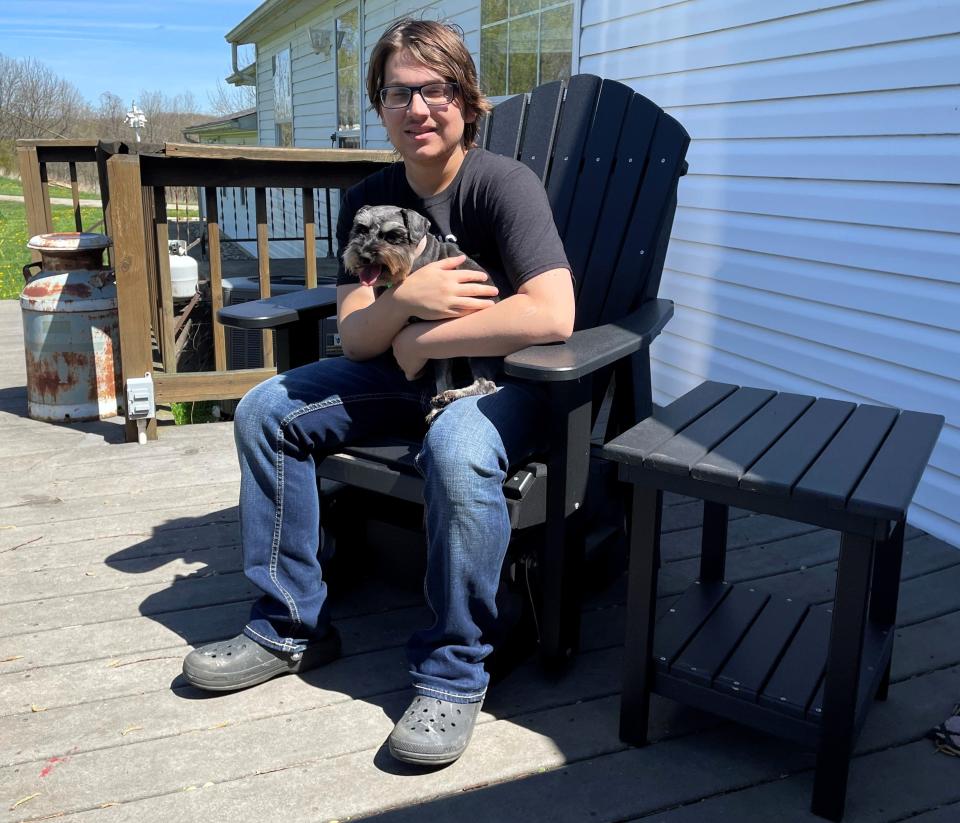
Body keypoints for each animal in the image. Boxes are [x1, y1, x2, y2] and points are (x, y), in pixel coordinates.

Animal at [342, 204, 498, 424]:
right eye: (361, 229)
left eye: (393, 236)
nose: (363, 256)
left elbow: (442, 377)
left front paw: (437, 405)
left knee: (486, 384)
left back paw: (449, 396)